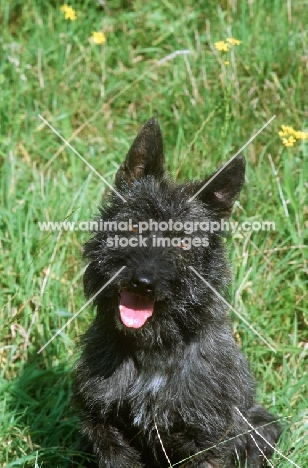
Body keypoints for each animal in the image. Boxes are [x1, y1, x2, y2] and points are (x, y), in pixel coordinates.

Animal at [73, 119, 282, 466]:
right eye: (133, 227)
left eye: (183, 243)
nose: (143, 282)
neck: (153, 351)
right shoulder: (101, 423)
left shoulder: (206, 440)